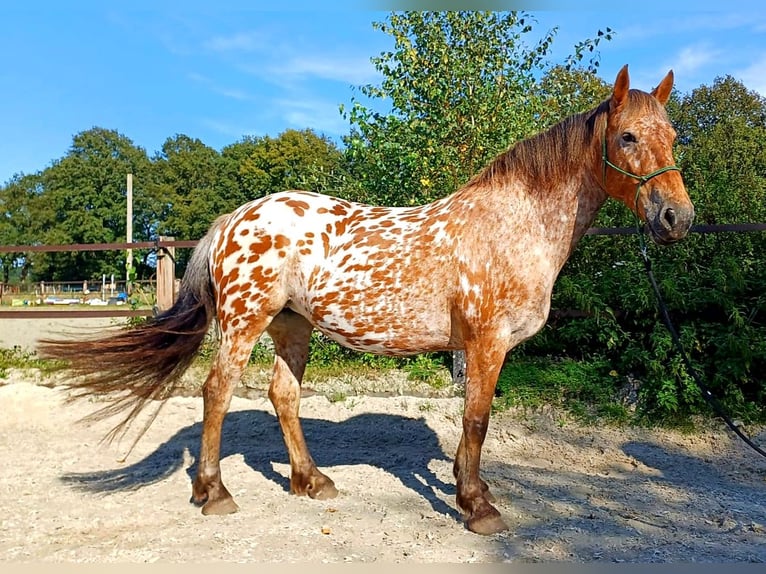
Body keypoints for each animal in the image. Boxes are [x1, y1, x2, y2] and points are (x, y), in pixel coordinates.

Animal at [37, 65, 696, 536]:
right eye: (628, 137)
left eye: (672, 136)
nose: (677, 219)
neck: (513, 223)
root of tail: (236, 218)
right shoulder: (487, 343)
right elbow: (477, 420)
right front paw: (477, 507)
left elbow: (471, 425)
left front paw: (470, 491)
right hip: (245, 322)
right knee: (217, 392)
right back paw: (215, 493)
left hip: (292, 326)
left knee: (283, 395)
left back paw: (312, 481)